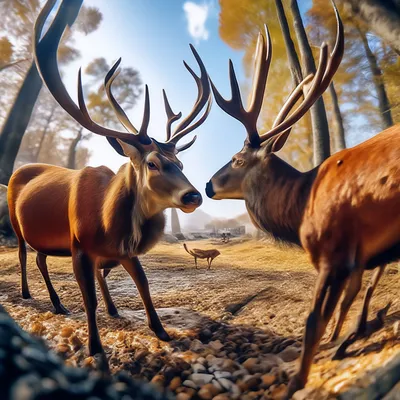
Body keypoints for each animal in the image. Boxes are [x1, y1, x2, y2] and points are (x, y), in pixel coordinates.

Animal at [7, 0, 212, 368]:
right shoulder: (78, 246)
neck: (107, 223)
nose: (193, 195)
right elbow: (89, 299)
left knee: (41, 257)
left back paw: (59, 303)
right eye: (153, 163)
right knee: (22, 253)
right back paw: (30, 294)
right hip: (16, 225)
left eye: (181, 163)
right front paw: (96, 349)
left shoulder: (124, 252)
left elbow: (144, 285)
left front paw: (160, 331)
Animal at [205, 3, 398, 396]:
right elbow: (348, 303)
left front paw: (295, 381)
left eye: (236, 159)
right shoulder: (358, 258)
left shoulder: (334, 252)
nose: (206, 186)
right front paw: (339, 344)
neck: (300, 206)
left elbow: (314, 320)